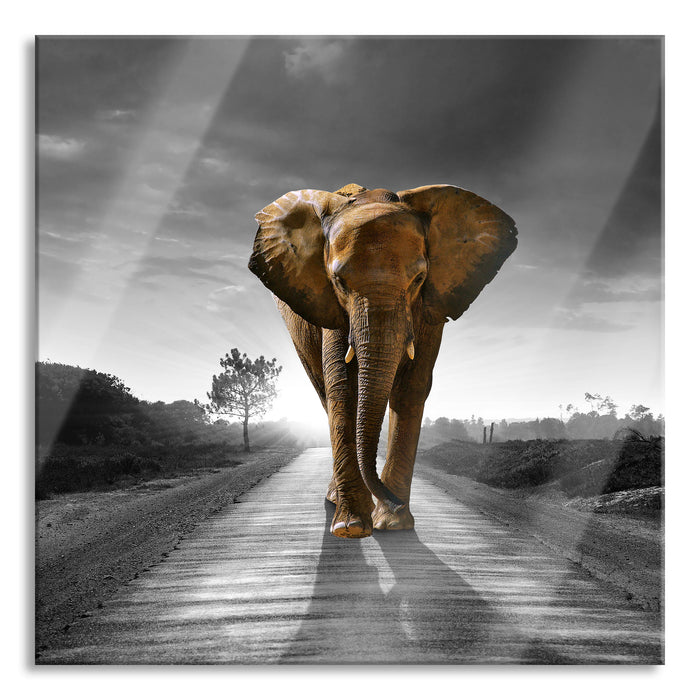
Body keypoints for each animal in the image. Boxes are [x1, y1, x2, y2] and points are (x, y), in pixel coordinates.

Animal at [248, 183, 517, 538]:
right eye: (339, 282)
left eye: (418, 279)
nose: (395, 502)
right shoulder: (332, 307)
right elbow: (343, 387)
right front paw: (351, 528)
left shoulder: (430, 305)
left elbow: (412, 387)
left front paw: (393, 523)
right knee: (324, 392)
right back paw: (337, 501)